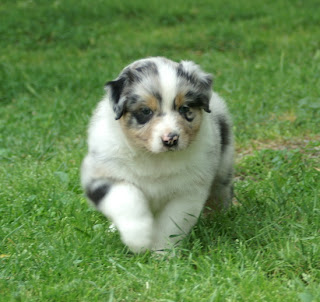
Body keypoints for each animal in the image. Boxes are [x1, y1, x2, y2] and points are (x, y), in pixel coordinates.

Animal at [81, 56, 234, 252]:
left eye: (184, 108)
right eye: (146, 111)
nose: (171, 139)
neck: (154, 157)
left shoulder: (187, 191)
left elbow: (170, 224)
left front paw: (161, 252)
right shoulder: (102, 174)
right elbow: (127, 197)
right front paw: (139, 237)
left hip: (223, 166)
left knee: (220, 191)